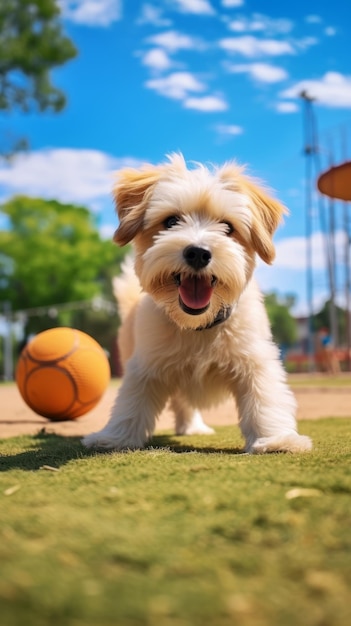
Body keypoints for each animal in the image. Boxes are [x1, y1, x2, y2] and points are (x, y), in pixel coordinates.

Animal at [83, 152, 314, 454]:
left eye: (228, 227)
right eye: (171, 221)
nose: (198, 252)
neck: (198, 325)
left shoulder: (255, 358)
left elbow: (264, 397)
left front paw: (275, 439)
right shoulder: (145, 363)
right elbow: (132, 401)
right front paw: (115, 437)